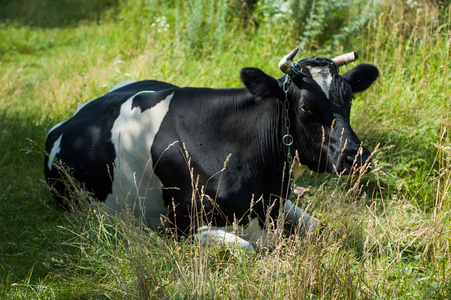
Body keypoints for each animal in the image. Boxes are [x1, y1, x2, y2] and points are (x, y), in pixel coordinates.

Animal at [44, 49, 380, 250]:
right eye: (306, 106)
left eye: (349, 99)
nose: (357, 156)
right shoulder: (179, 227)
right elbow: (248, 249)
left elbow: (318, 226)